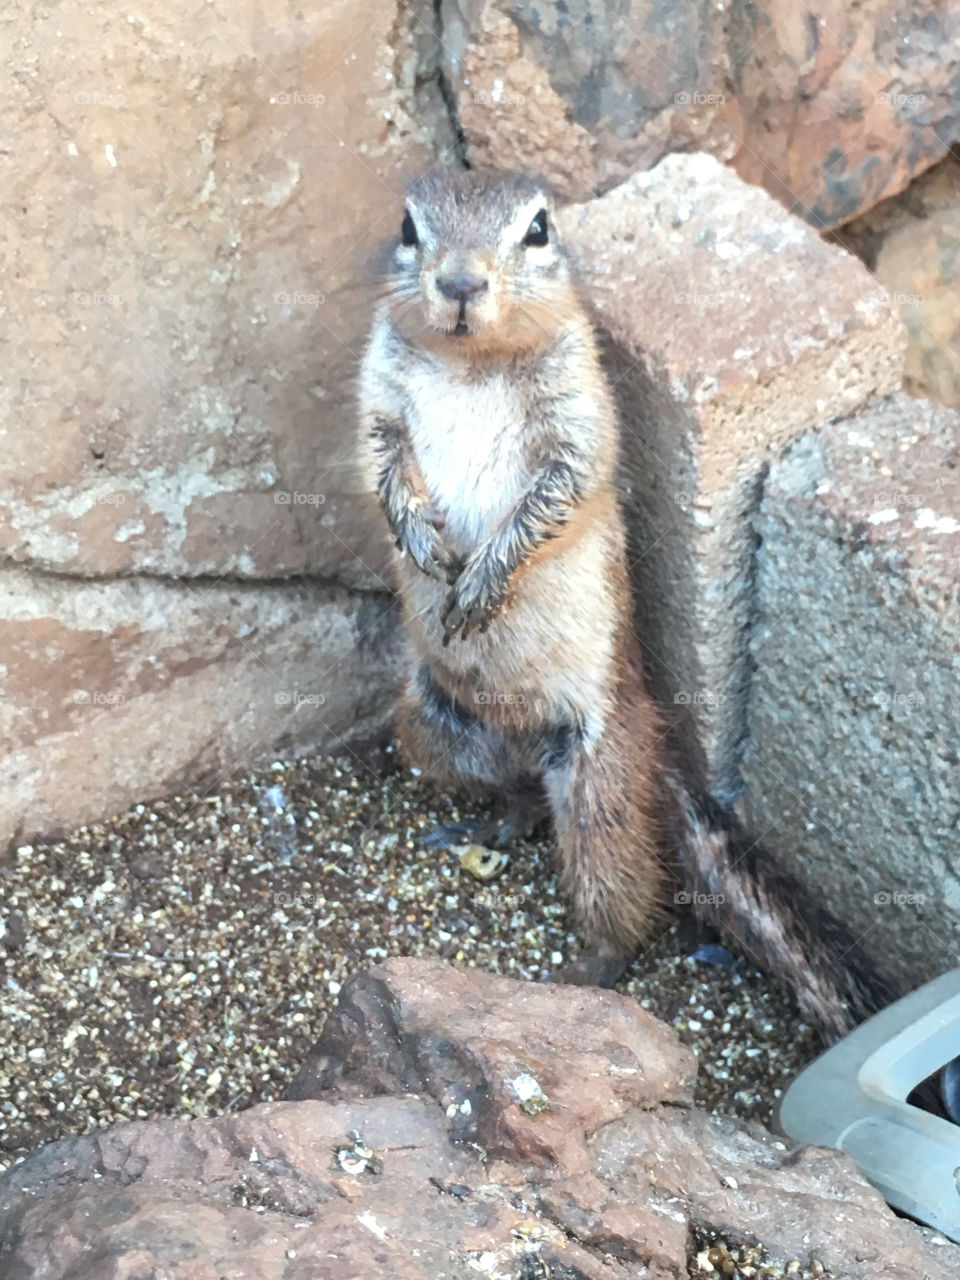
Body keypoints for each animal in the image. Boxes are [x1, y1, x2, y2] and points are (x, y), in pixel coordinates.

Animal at [358, 168, 884, 1040]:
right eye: (407, 225)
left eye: (538, 230)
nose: (461, 284)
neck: (470, 363)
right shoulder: (378, 405)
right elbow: (387, 472)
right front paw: (422, 544)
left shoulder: (579, 417)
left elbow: (552, 496)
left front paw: (480, 580)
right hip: (428, 728)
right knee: (510, 788)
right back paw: (501, 817)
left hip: (600, 779)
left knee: (623, 888)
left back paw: (587, 972)